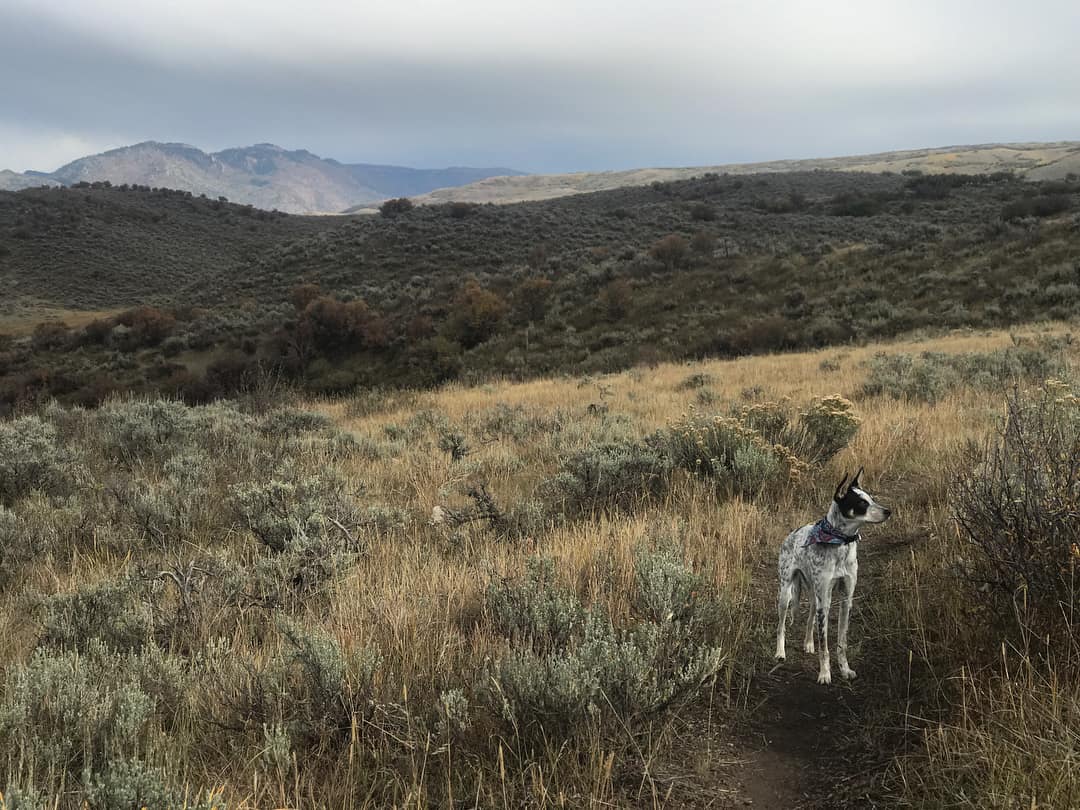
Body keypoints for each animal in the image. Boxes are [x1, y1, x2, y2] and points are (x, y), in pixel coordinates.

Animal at [777, 468, 894, 686]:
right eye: (861, 503)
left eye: (871, 499)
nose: (888, 511)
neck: (840, 543)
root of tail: (792, 534)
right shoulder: (826, 601)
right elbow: (824, 645)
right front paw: (825, 674)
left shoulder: (846, 599)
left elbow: (841, 642)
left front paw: (845, 670)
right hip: (786, 594)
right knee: (781, 626)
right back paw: (780, 652)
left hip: (814, 597)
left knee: (810, 620)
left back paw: (808, 643)